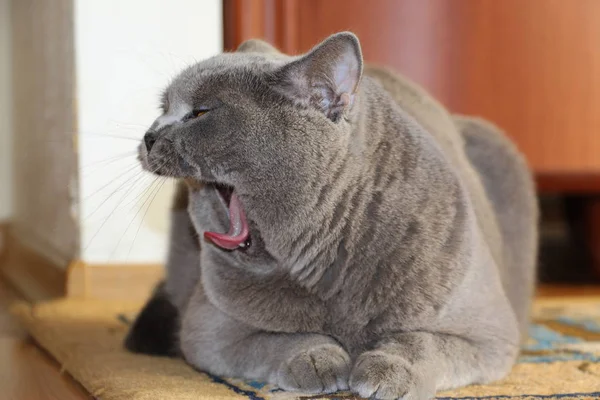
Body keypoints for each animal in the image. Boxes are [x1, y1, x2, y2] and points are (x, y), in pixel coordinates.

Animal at [124, 32, 536, 400]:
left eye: (200, 112)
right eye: (163, 109)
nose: (149, 135)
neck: (328, 259)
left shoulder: (491, 335)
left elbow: (422, 342)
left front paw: (388, 371)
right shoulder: (208, 328)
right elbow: (277, 337)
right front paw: (317, 360)